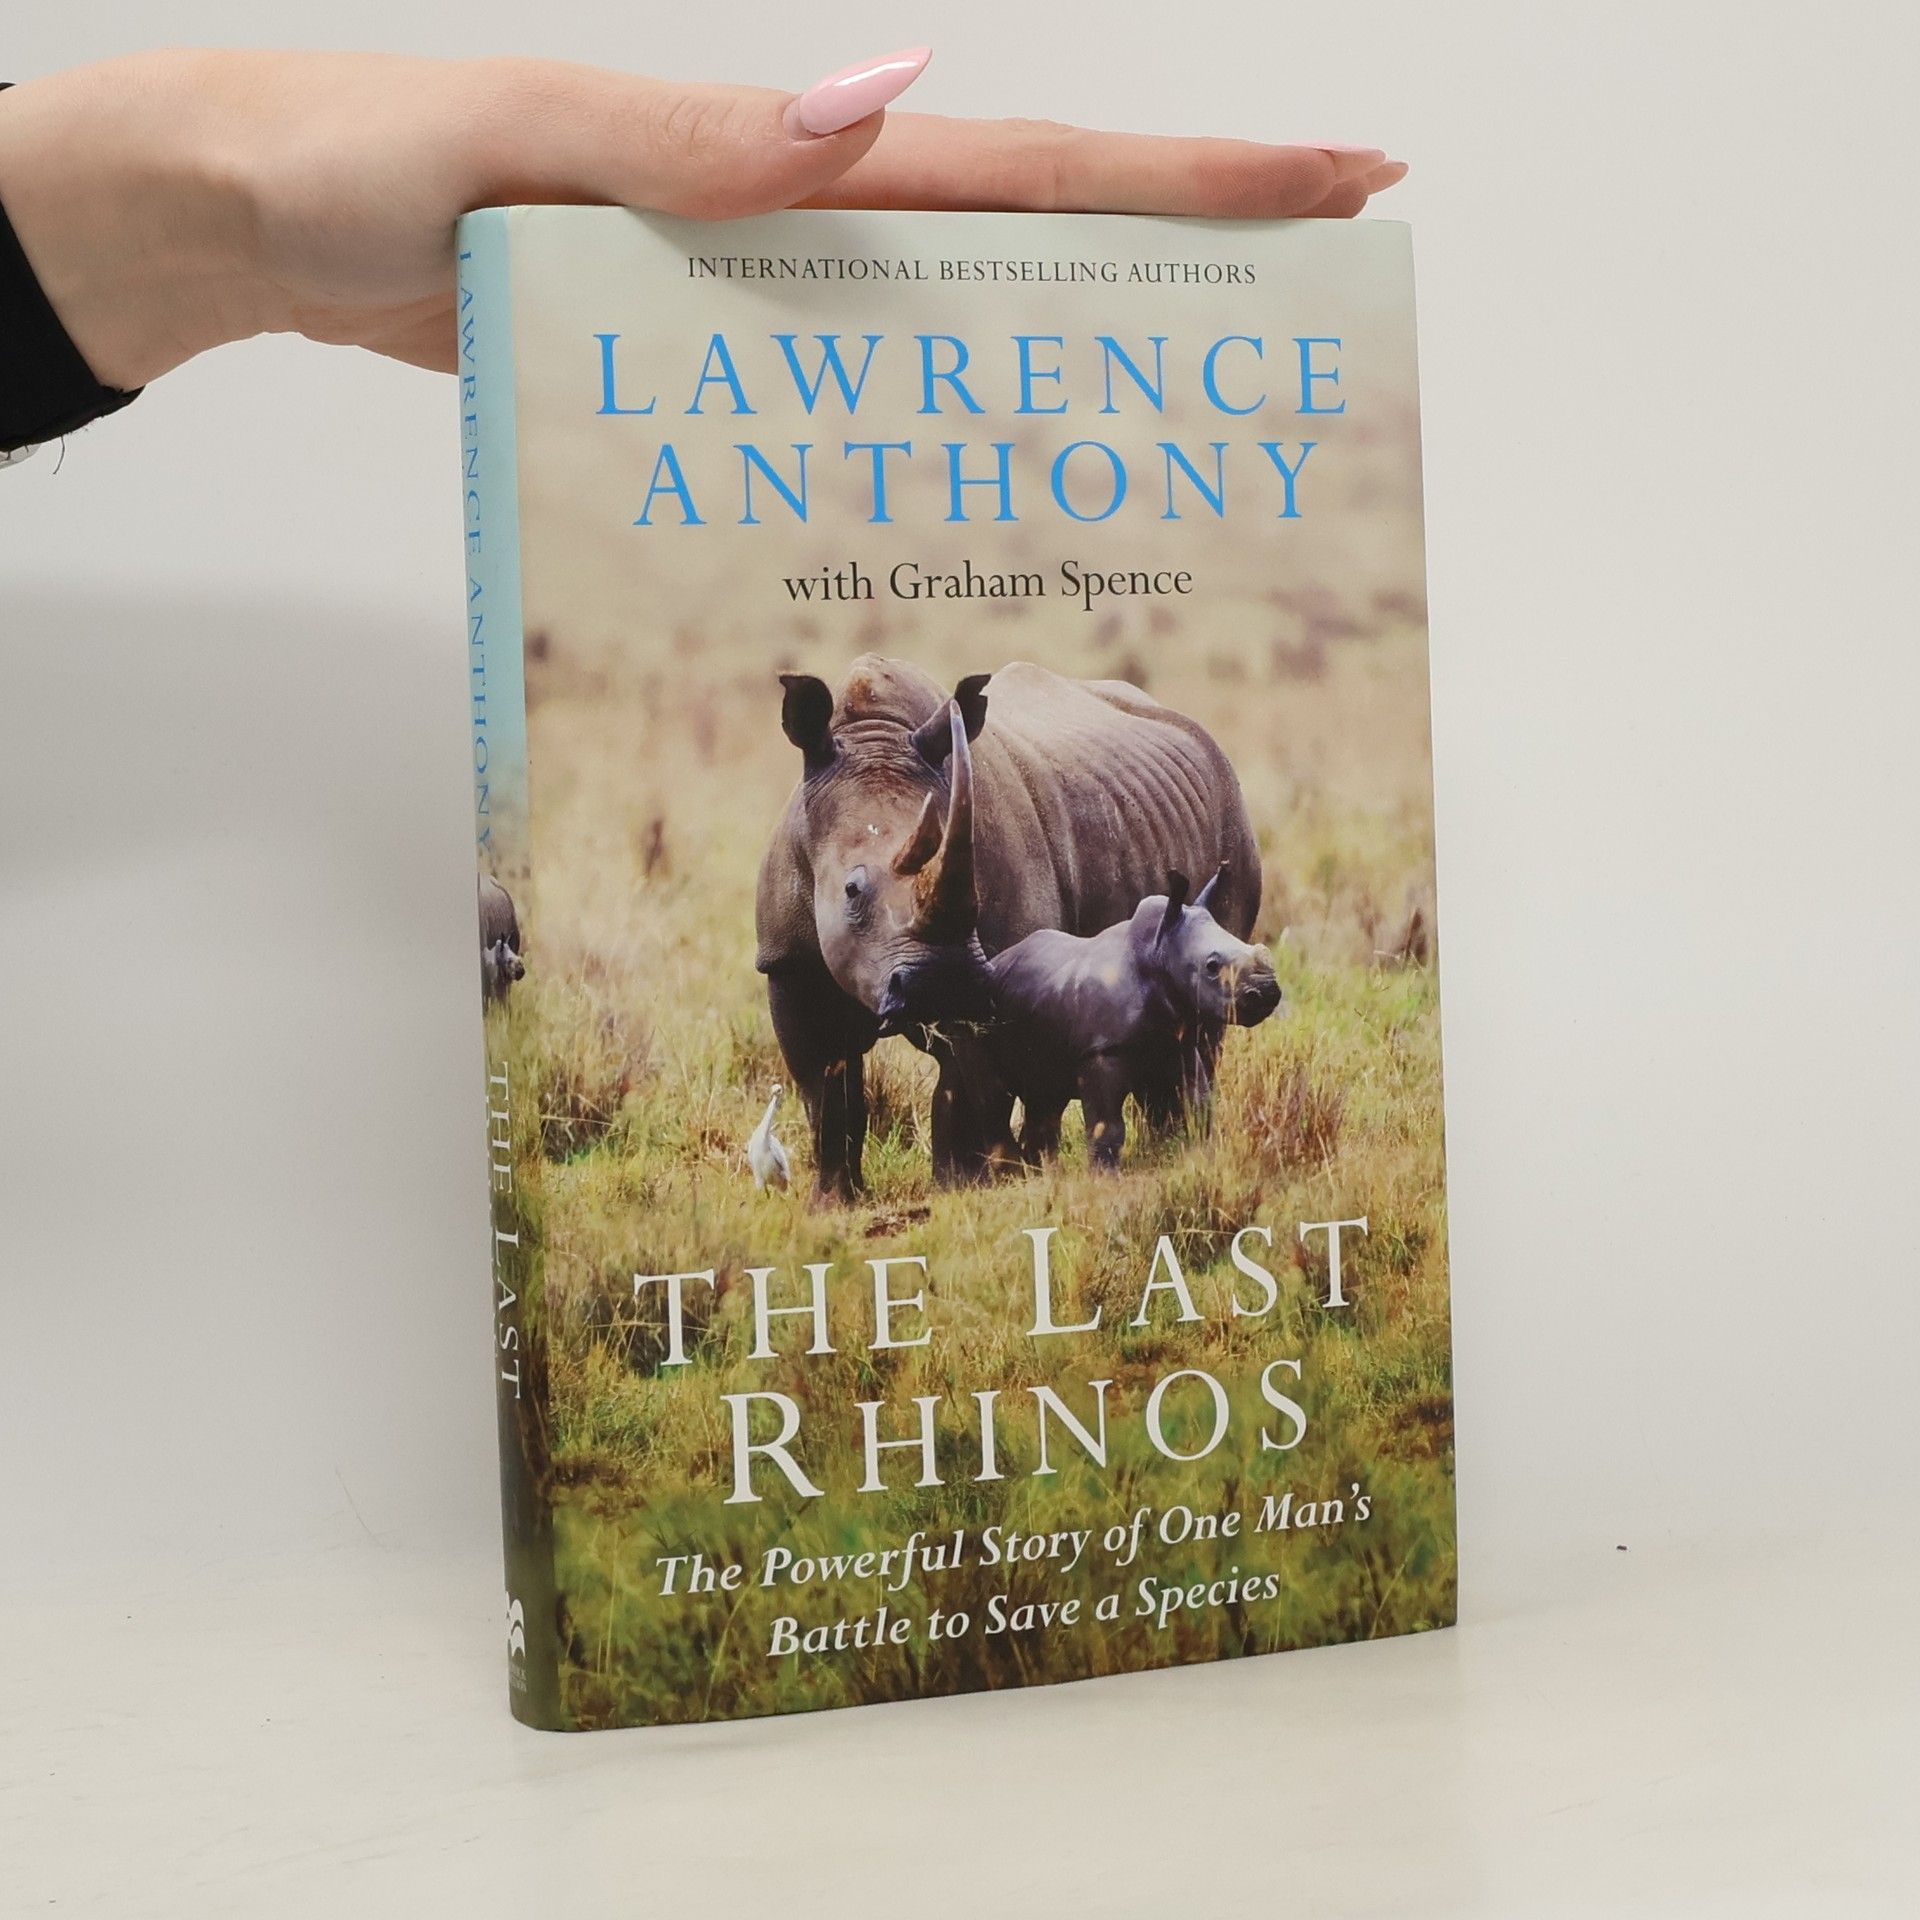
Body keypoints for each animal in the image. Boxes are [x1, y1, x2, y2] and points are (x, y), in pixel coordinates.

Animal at [984, 866, 1282, 1169]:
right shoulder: (1101, 1052)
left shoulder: (1177, 1044)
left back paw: (1040, 1169)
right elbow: (1107, 1125)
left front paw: (1196, 1155)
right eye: (1211, 966)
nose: (1267, 991)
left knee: (1045, 1096)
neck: (1158, 953)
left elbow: (1196, 1105)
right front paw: (1105, 1175)